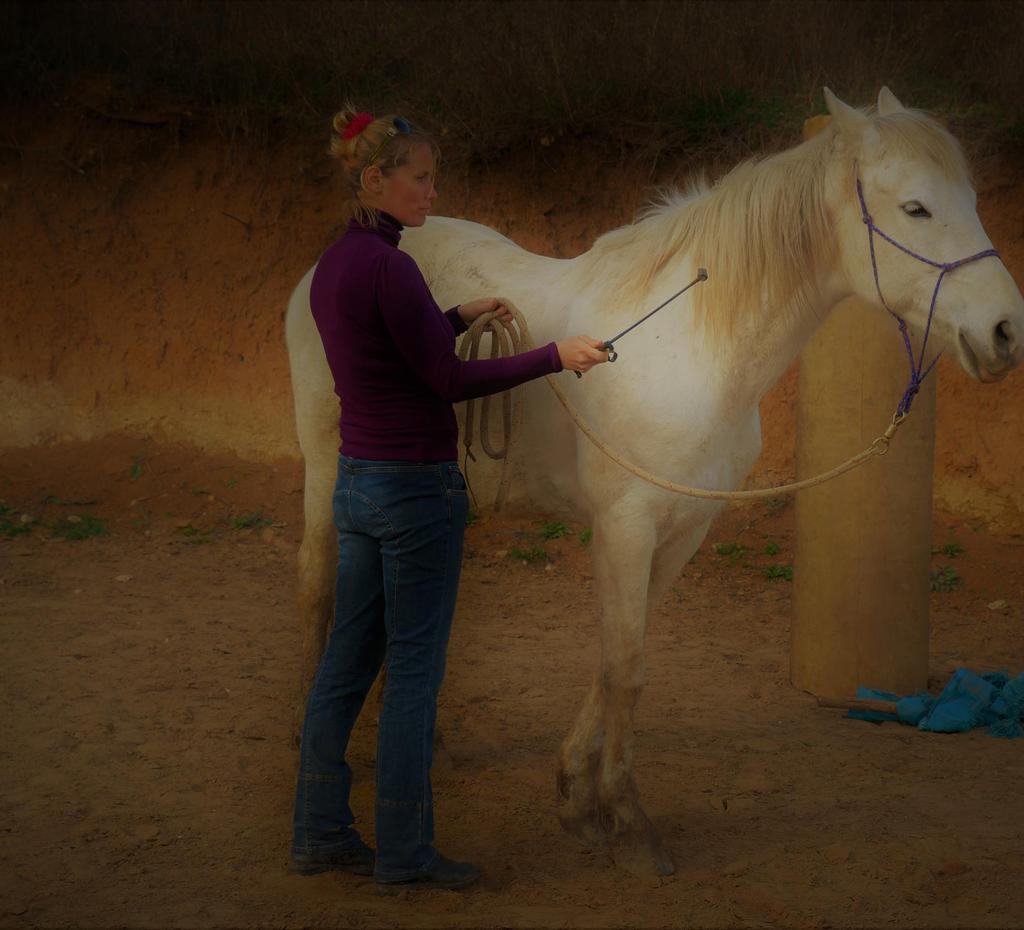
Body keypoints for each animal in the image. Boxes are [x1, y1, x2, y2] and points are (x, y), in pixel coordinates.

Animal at [284, 87, 1019, 872]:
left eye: (972, 199)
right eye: (916, 208)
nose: (1006, 331)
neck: (691, 346)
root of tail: (317, 270)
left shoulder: (683, 529)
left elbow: (617, 663)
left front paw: (578, 798)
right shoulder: (625, 526)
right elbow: (626, 669)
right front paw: (626, 820)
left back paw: (432, 745)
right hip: (328, 470)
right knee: (317, 584)